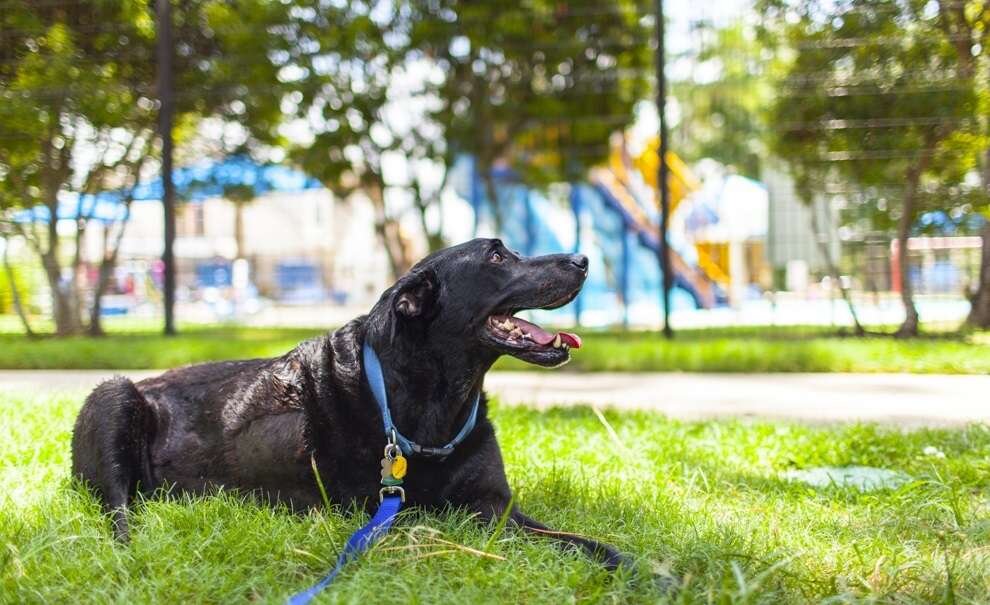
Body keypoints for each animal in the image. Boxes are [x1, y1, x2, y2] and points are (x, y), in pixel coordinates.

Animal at [70, 238, 632, 568]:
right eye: (497, 257)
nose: (583, 259)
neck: (430, 404)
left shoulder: (497, 503)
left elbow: (575, 539)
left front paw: (633, 568)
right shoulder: (419, 514)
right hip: (114, 397)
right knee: (118, 511)